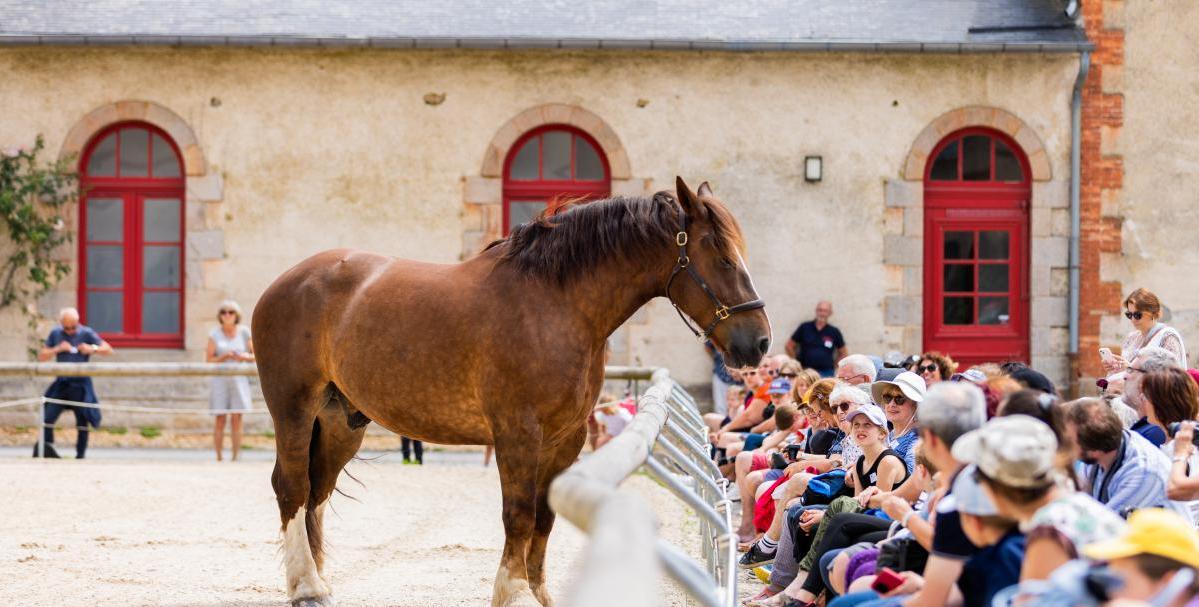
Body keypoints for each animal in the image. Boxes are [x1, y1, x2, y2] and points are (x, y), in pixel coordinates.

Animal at [252, 177, 771, 607]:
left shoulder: (566, 439)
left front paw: (537, 592)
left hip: (342, 421)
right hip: (295, 411)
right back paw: (306, 588)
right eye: (722, 258)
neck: (555, 303)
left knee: (317, 493)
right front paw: (514, 591)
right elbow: (518, 514)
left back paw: (318, 581)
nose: (760, 342)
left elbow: (544, 515)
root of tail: (286, 283)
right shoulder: (518, 432)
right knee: (292, 488)